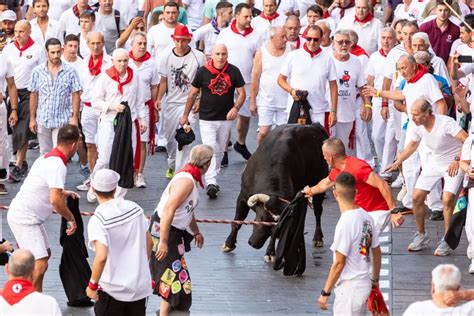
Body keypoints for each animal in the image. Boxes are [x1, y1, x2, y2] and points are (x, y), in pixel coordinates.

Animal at [223, 123, 328, 260]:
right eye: (261, 218)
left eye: (276, 228)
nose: (254, 244)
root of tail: (315, 126)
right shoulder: (242, 197)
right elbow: (237, 221)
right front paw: (229, 244)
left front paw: (270, 253)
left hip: (319, 184)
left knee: (318, 211)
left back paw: (318, 238)